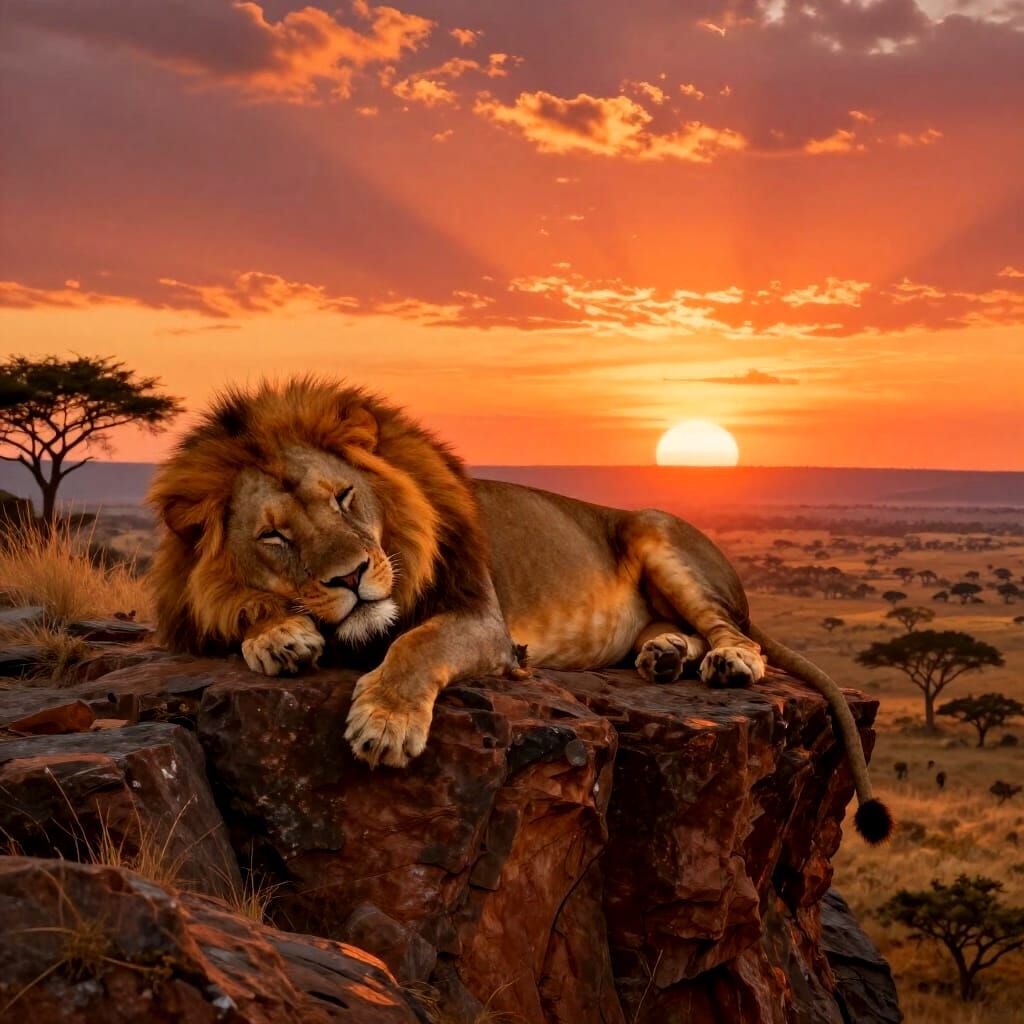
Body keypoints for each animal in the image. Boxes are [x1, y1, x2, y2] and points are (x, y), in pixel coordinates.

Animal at [148, 378, 892, 844]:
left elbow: (415, 645)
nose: (353, 576)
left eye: (343, 498)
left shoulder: (483, 620)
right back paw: (663, 655)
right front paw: (277, 636)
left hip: (655, 531)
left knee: (731, 629)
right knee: (672, 629)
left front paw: (384, 726)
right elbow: (241, 613)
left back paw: (728, 660)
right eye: (273, 536)